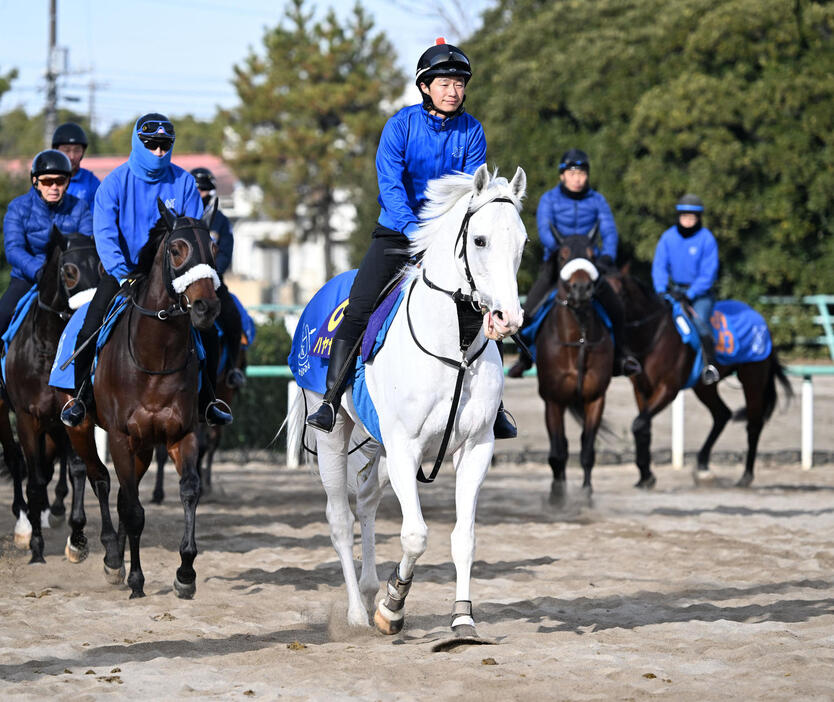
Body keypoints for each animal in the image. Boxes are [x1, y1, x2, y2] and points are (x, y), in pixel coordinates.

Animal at [3, 228, 103, 564]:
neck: (47, 348)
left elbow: (77, 470)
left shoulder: (71, 415)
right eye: (69, 271)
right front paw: (35, 545)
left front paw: (77, 538)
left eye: (101, 268)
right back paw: (23, 525)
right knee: (15, 459)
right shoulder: (26, 418)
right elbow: (33, 480)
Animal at [63, 201, 219, 604]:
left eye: (213, 247)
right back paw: (110, 557)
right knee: (100, 480)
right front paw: (135, 579)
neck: (155, 358)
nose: (206, 308)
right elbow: (133, 511)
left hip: (144, 447)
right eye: (177, 249)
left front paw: (185, 573)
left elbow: (189, 491)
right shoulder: (120, 436)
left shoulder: (181, 433)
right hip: (82, 429)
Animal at [286, 164, 524, 640]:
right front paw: (391, 608)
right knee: (340, 518)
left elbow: (463, 538)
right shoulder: (404, 449)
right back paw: (358, 612)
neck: (454, 344)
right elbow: (415, 535)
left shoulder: (476, 449)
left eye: (523, 242)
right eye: (480, 240)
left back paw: (369, 587)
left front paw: (463, 619)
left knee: (366, 501)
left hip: (378, 446)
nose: (508, 318)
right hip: (334, 435)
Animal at [532, 226, 612, 506]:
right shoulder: (553, 400)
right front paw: (557, 495)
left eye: (592, 253)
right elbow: (558, 452)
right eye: (563, 254)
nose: (581, 288)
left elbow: (587, 449)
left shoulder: (595, 398)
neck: (578, 339)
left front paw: (587, 494)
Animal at [620, 276, 788, 490]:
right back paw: (702, 466)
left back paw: (746, 476)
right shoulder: (640, 389)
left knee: (753, 425)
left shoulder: (667, 389)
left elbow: (639, 424)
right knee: (722, 414)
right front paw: (645, 476)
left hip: (753, 380)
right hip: (704, 387)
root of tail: (761, 321)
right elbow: (643, 426)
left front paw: (646, 475)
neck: (654, 334)